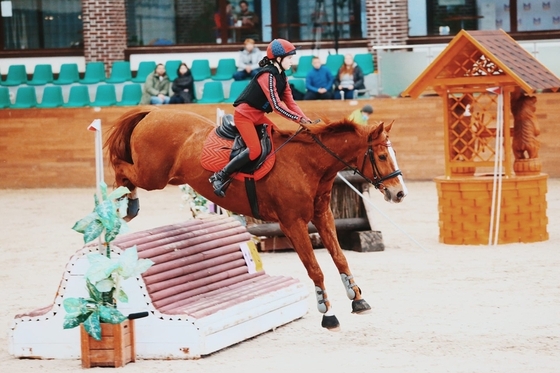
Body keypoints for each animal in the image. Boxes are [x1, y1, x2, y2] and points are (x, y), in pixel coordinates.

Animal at [105, 107, 406, 328]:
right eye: (382, 156)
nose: (399, 193)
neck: (309, 164)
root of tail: (153, 112)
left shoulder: (322, 216)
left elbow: (340, 257)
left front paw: (357, 298)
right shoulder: (292, 223)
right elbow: (315, 268)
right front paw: (327, 312)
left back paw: (128, 207)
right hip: (153, 176)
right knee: (121, 168)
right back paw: (124, 205)